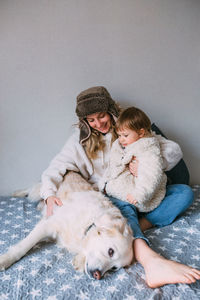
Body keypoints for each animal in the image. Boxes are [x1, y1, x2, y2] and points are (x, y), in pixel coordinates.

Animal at [0, 172, 134, 280]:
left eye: (114, 268)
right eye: (111, 251)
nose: (98, 275)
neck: (86, 226)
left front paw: (80, 261)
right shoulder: (48, 224)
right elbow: (24, 246)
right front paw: (6, 259)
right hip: (40, 190)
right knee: (30, 190)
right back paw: (17, 193)